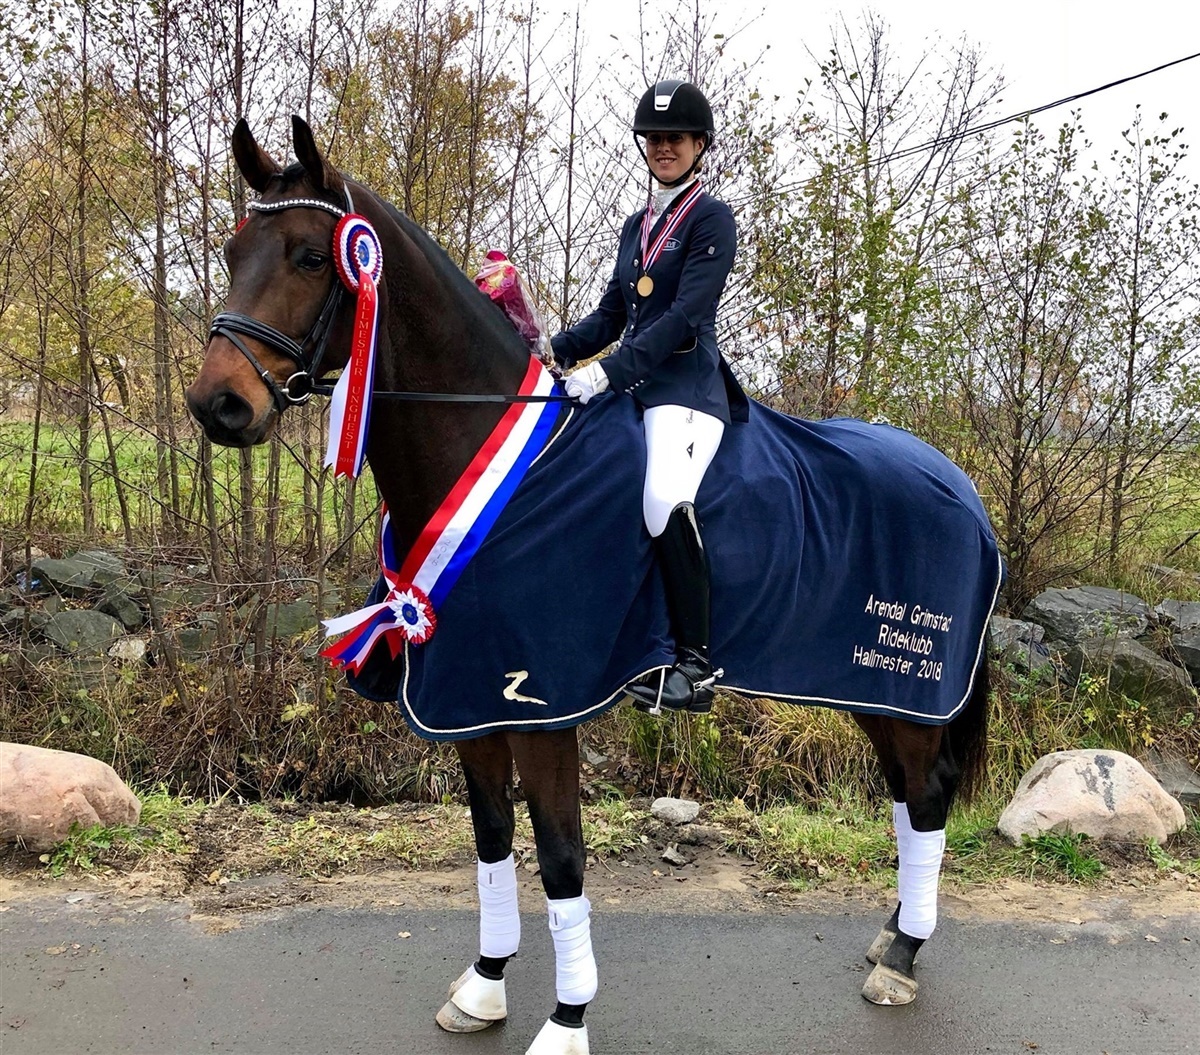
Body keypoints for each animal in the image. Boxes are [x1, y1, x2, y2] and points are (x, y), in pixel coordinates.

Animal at [186, 116, 997, 1055]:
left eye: (313, 257)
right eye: (234, 248)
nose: (217, 405)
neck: (496, 457)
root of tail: (958, 482)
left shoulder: (541, 705)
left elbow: (560, 857)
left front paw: (567, 1018)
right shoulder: (469, 697)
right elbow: (492, 840)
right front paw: (485, 983)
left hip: (907, 688)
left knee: (928, 795)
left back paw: (900, 958)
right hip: (870, 686)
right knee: (908, 797)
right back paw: (892, 933)